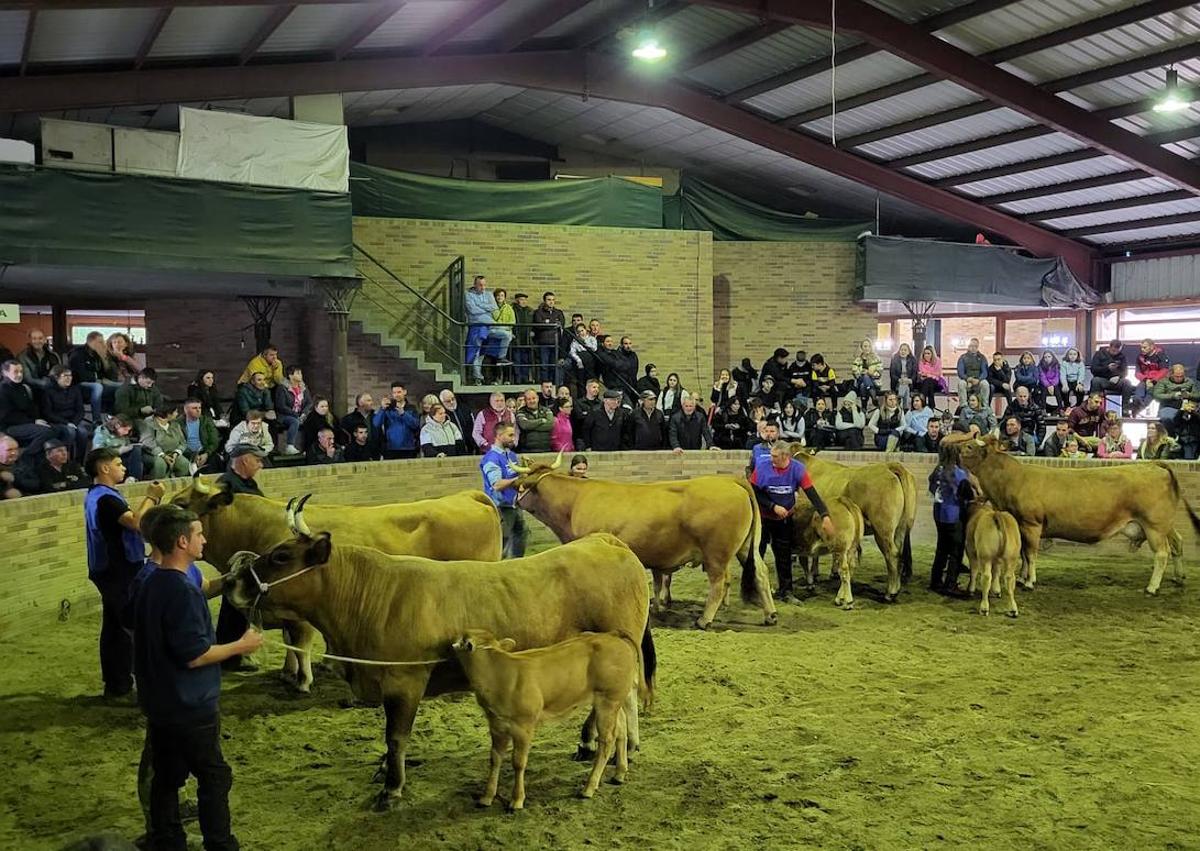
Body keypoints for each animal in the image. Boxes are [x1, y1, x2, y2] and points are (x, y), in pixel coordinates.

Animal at [170, 477, 501, 691]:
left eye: (181, 502)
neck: (256, 527)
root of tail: (468, 496)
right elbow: (290, 641)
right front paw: (288, 673)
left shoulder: (299, 611)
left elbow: (300, 641)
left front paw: (302, 681)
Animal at [451, 628, 648, 806]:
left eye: (463, 639)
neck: (499, 673)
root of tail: (612, 635)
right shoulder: (496, 725)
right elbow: (495, 759)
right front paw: (486, 797)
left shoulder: (523, 726)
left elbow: (518, 762)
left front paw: (517, 800)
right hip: (613, 701)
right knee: (621, 730)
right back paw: (619, 774)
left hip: (608, 700)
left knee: (606, 741)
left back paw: (588, 788)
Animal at [508, 448, 777, 628]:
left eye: (519, 485)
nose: (510, 497)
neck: (574, 502)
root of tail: (732, 481)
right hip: (745, 547)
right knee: (761, 573)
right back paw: (770, 615)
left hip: (716, 554)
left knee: (719, 583)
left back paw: (704, 620)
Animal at [955, 434, 1200, 595]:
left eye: (970, 446)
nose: (955, 448)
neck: (1012, 478)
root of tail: (1153, 465)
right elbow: (1024, 554)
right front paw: (1024, 577)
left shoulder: (1031, 524)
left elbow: (1031, 554)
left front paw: (1030, 581)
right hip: (1164, 524)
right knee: (1177, 543)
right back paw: (1179, 577)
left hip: (1154, 525)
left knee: (1162, 553)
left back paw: (1152, 587)